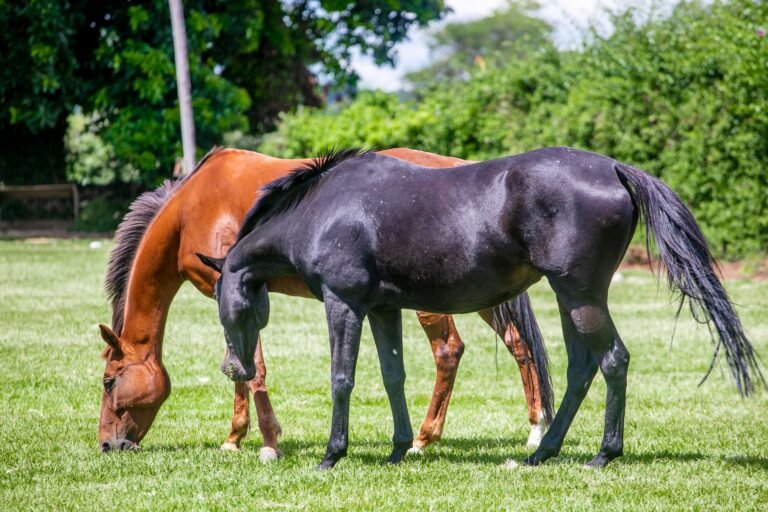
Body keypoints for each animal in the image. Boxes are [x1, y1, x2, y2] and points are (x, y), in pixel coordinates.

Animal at [97, 147, 554, 458]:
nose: (107, 444)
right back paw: (534, 427)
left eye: (108, 381)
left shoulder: (233, 291)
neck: (190, 210)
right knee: (519, 345)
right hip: (484, 293)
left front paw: (264, 442)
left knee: (449, 351)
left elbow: (251, 367)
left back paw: (424, 439)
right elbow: (241, 365)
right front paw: (237, 438)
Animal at [201, 146, 764, 470]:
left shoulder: (344, 306)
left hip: (580, 296)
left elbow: (343, 378)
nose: (235, 368)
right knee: (582, 369)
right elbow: (392, 377)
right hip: (572, 299)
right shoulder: (382, 310)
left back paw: (604, 454)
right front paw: (399, 448)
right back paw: (541, 452)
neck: (322, 209)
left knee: (613, 361)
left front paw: (332, 455)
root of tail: (612, 168)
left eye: (227, 304)